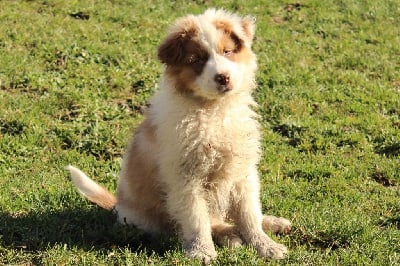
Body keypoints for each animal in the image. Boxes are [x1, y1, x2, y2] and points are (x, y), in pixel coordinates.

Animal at [66, 8, 290, 264]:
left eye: (227, 51)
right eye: (197, 60)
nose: (223, 77)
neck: (213, 111)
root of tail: (118, 205)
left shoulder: (242, 171)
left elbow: (249, 213)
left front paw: (265, 245)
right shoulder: (185, 178)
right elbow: (197, 219)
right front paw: (202, 252)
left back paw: (272, 223)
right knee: (209, 222)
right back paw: (230, 236)